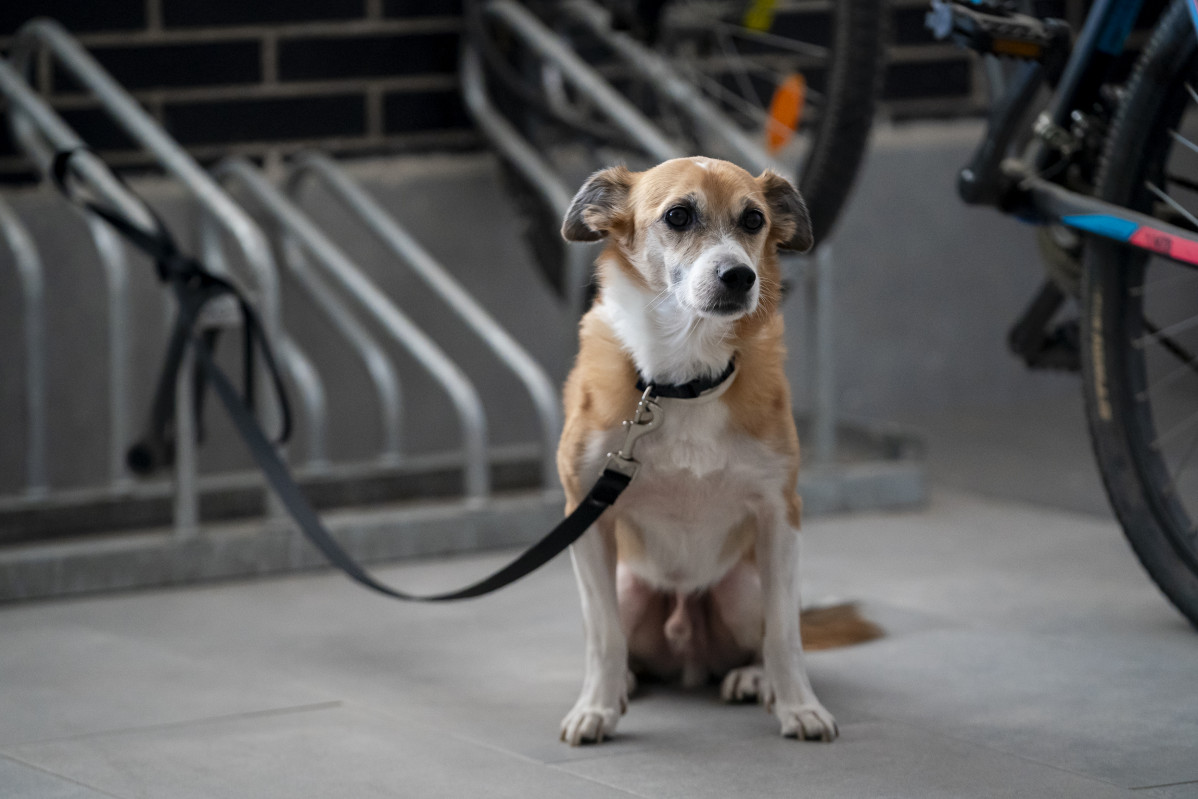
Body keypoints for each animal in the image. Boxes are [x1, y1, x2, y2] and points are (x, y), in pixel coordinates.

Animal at [555, 159, 876, 747]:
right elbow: (603, 637)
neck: (682, 381)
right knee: (623, 641)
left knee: (766, 634)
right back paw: (624, 684)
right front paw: (596, 707)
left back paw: (754, 679)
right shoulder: (585, 516)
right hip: (626, 585)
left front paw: (800, 707)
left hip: (744, 587)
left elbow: (785, 635)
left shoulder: (780, 516)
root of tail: (688, 656)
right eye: (678, 216)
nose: (739, 276)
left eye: (754, 220)